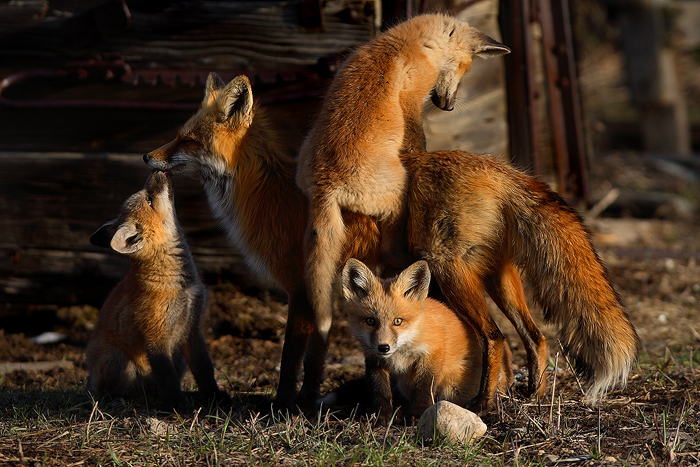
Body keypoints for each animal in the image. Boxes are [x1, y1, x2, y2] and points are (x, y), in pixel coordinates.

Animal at [86, 171, 228, 412]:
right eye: (149, 200)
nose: (157, 171)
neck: (180, 285)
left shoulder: (192, 328)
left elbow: (204, 370)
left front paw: (214, 397)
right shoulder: (156, 335)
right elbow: (167, 377)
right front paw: (177, 406)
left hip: (178, 356)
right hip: (116, 358)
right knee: (104, 391)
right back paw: (113, 399)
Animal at [294, 14, 511, 387]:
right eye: (464, 68)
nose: (448, 106)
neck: (404, 42)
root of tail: (327, 183)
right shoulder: (411, 94)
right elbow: (416, 137)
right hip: (397, 198)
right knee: (393, 249)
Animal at [330, 258, 513, 423]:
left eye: (398, 321)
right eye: (370, 321)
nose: (384, 347)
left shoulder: (432, 352)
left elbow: (424, 386)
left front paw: (418, 414)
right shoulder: (373, 358)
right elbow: (379, 390)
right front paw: (381, 417)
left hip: (455, 388)